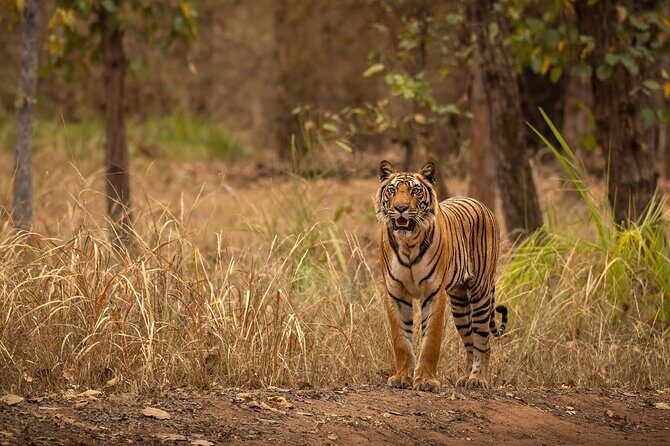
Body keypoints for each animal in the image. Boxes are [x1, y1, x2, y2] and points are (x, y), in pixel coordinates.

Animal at [376, 160, 508, 392]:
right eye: (392, 190)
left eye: (415, 191)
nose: (400, 208)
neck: (408, 243)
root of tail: (480, 203)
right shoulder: (395, 292)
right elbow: (401, 339)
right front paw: (402, 377)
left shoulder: (434, 292)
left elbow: (431, 340)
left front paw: (426, 381)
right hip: (460, 304)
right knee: (470, 342)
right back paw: (465, 377)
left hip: (480, 293)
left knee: (483, 342)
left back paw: (477, 379)